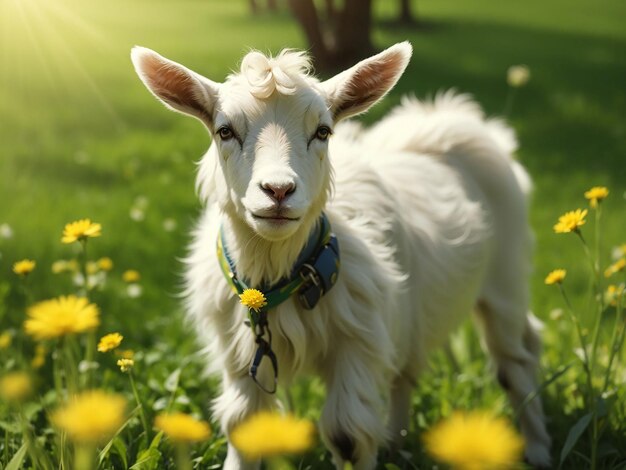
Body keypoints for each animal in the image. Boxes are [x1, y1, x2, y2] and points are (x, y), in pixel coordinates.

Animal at [130, 42, 544, 468]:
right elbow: (243, 426)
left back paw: (538, 448)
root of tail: (458, 123)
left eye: (323, 131)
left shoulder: (356, 342)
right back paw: (396, 442)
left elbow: (347, 435)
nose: (277, 191)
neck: (277, 273)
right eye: (224, 130)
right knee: (407, 370)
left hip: (505, 280)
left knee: (516, 361)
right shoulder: (241, 354)